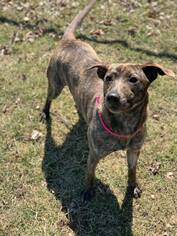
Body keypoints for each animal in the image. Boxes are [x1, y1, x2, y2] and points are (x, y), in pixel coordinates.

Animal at [41, 0, 174, 201]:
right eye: (108, 78)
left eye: (133, 79)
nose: (112, 97)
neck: (125, 123)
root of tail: (69, 40)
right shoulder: (94, 154)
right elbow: (89, 173)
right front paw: (88, 191)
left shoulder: (134, 151)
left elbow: (132, 171)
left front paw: (133, 187)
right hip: (56, 85)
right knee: (49, 97)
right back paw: (45, 113)